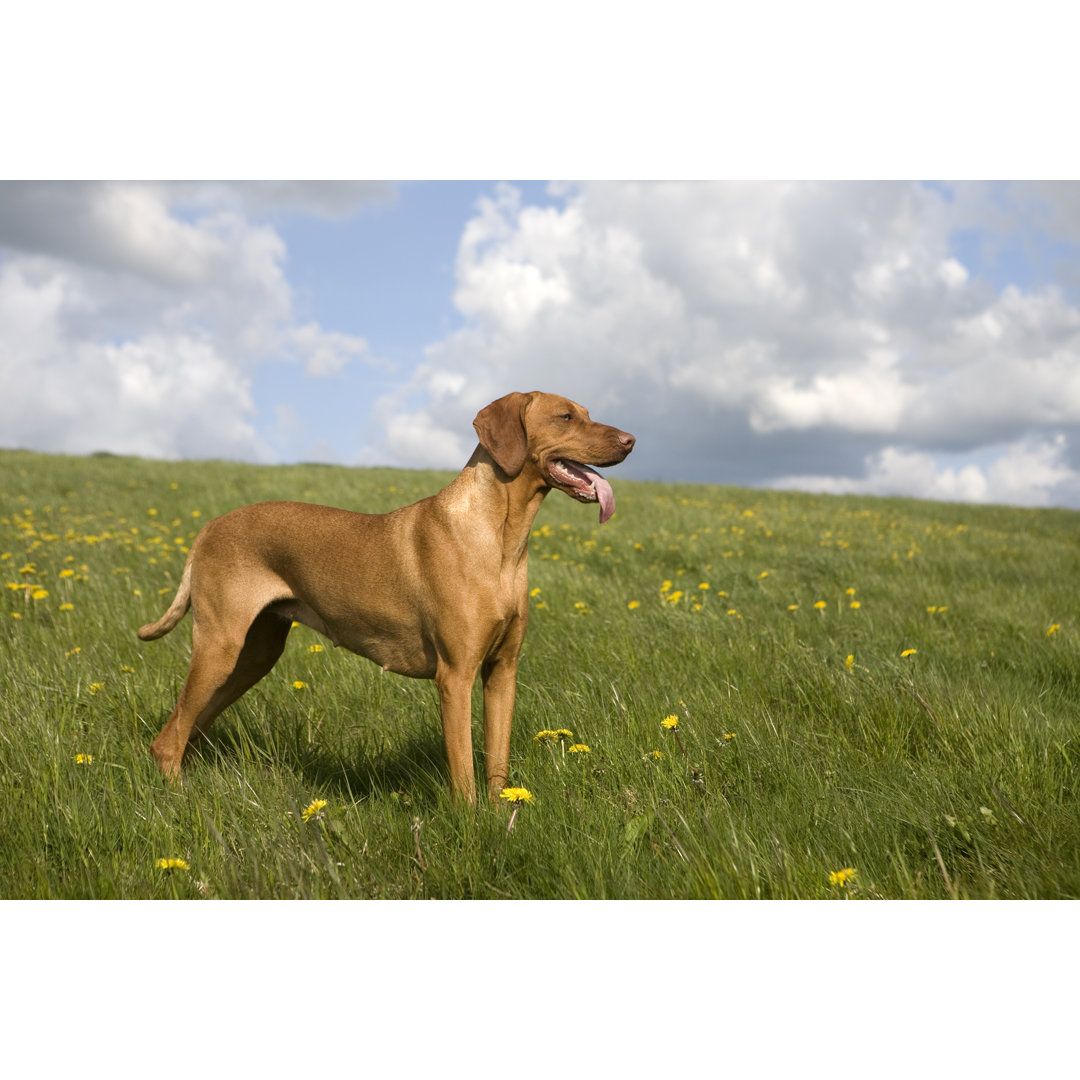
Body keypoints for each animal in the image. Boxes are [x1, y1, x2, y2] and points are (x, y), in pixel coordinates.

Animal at [139, 390, 635, 803]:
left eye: (587, 412)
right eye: (566, 416)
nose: (631, 440)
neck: (500, 539)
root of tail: (209, 527)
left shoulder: (502, 671)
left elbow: (497, 764)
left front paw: (502, 820)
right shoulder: (455, 676)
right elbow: (464, 774)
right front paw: (472, 825)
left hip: (253, 656)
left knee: (187, 729)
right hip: (220, 646)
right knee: (168, 739)